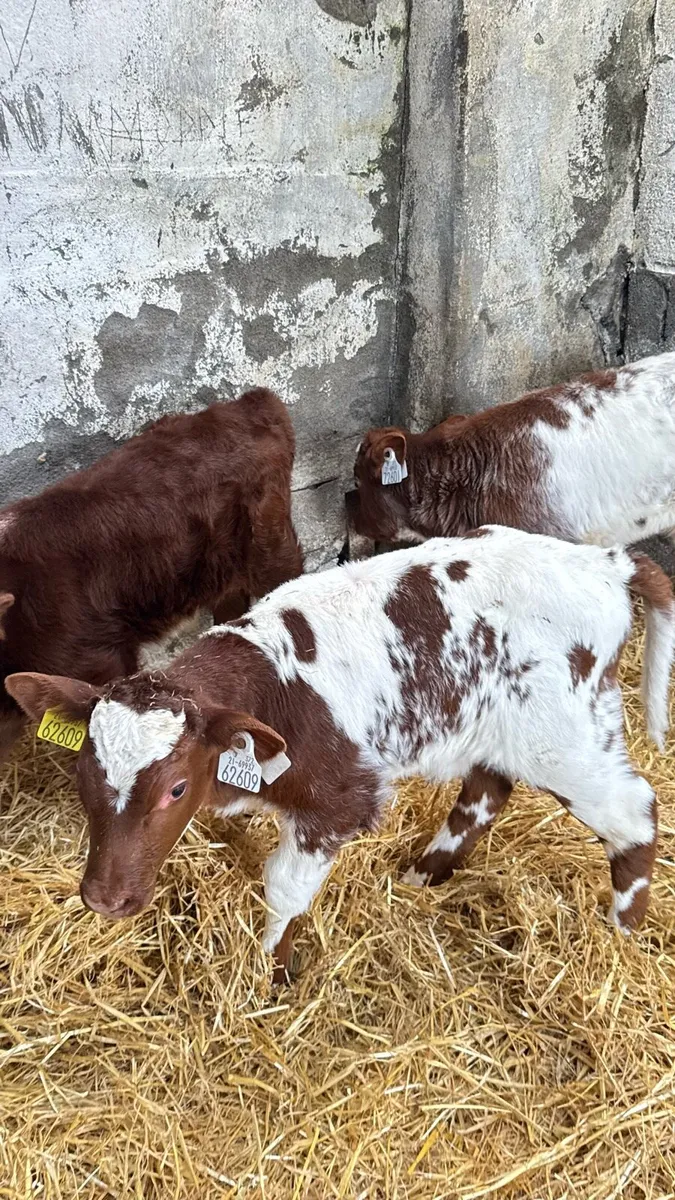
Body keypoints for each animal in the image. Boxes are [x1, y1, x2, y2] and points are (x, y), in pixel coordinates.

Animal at [6, 527, 673, 982]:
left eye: (175, 788)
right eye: (83, 773)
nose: (104, 899)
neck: (272, 688)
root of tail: (605, 563)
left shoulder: (339, 803)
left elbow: (284, 889)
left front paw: (273, 973)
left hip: (566, 738)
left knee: (634, 813)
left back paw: (620, 937)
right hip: (497, 723)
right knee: (488, 790)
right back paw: (423, 874)